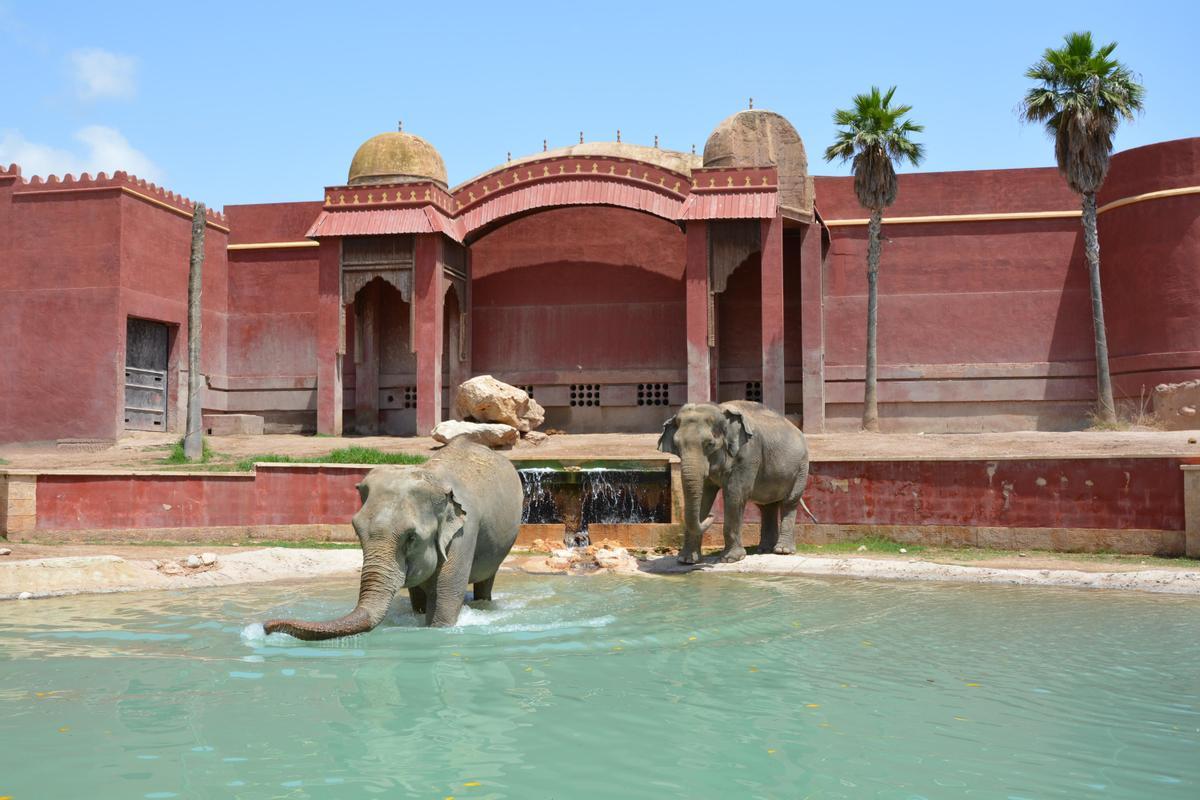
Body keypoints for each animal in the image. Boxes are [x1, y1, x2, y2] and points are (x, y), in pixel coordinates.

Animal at [265, 438, 523, 638]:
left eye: (411, 537)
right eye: (356, 530)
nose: (267, 626)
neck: (431, 476)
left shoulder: (464, 534)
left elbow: (445, 601)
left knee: (486, 580)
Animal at [657, 398, 816, 563]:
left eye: (710, 444)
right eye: (677, 446)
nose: (712, 516)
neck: (720, 408)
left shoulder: (748, 453)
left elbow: (735, 494)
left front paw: (730, 559)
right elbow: (704, 497)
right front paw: (686, 560)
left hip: (802, 467)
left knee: (789, 501)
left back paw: (782, 551)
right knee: (767, 506)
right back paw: (764, 549)